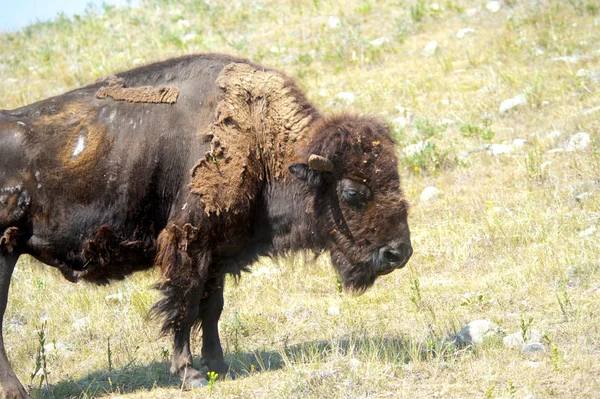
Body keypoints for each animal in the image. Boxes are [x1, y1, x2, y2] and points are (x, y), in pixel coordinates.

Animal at [0, 54, 410, 399]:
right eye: (353, 191)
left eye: (396, 178)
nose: (399, 253)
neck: (258, 136)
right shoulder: (189, 240)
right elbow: (184, 302)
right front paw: (189, 373)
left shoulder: (219, 250)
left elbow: (212, 306)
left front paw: (219, 364)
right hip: (5, 253)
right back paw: (16, 391)